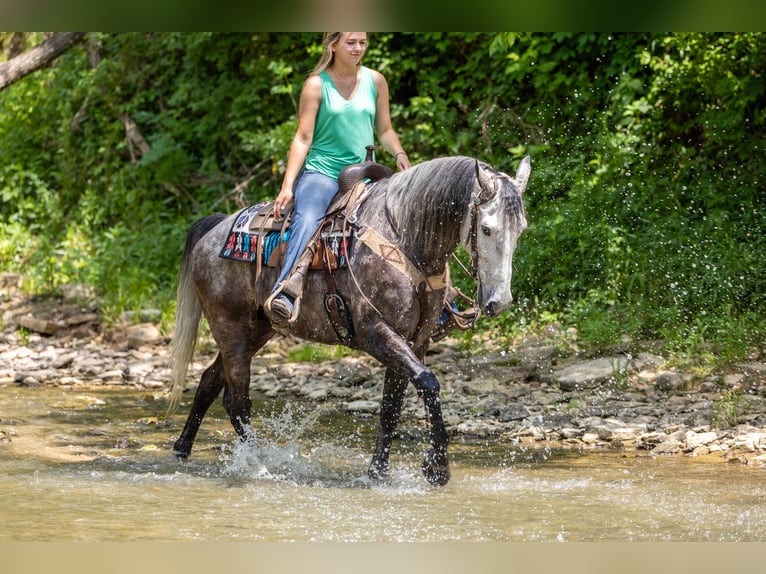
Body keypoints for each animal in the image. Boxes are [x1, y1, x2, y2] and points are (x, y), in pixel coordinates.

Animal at [168, 155, 530, 485]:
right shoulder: (376, 333)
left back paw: (182, 449)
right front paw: (437, 467)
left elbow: (391, 407)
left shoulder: (414, 341)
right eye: (486, 228)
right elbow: (428, 383)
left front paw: (378, 473)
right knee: (236, 400)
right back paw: (259, 466)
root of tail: (214, 231)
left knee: (209, 381)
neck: (405, 240)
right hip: (230, 328)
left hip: (256, 331)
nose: (499, 302)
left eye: (521, 230)